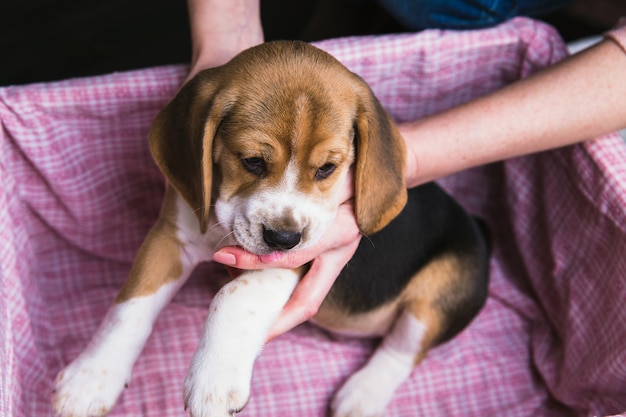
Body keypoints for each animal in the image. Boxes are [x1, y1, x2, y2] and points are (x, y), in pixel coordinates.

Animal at [52, 39, 488, 416]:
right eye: (252, 161)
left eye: (327, 168)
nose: (283, 238)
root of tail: (479, 228)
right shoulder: (170, 237)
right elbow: (129, 307)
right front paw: (90, 378)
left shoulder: (299, 258)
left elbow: (233, 295)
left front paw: (213, 380)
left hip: (444, 286)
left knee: (404, 349)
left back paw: (362, 395)